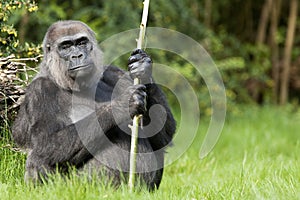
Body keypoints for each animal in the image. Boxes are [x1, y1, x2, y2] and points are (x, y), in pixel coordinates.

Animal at [11, 20, 176, 191]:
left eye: (82, 42)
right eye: (66, 46)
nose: (77, 55)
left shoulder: (115, 73)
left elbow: (162, 137)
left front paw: (143, 68)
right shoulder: (39, 91)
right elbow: (47, 142)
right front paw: (123, 105)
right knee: (39, 157)